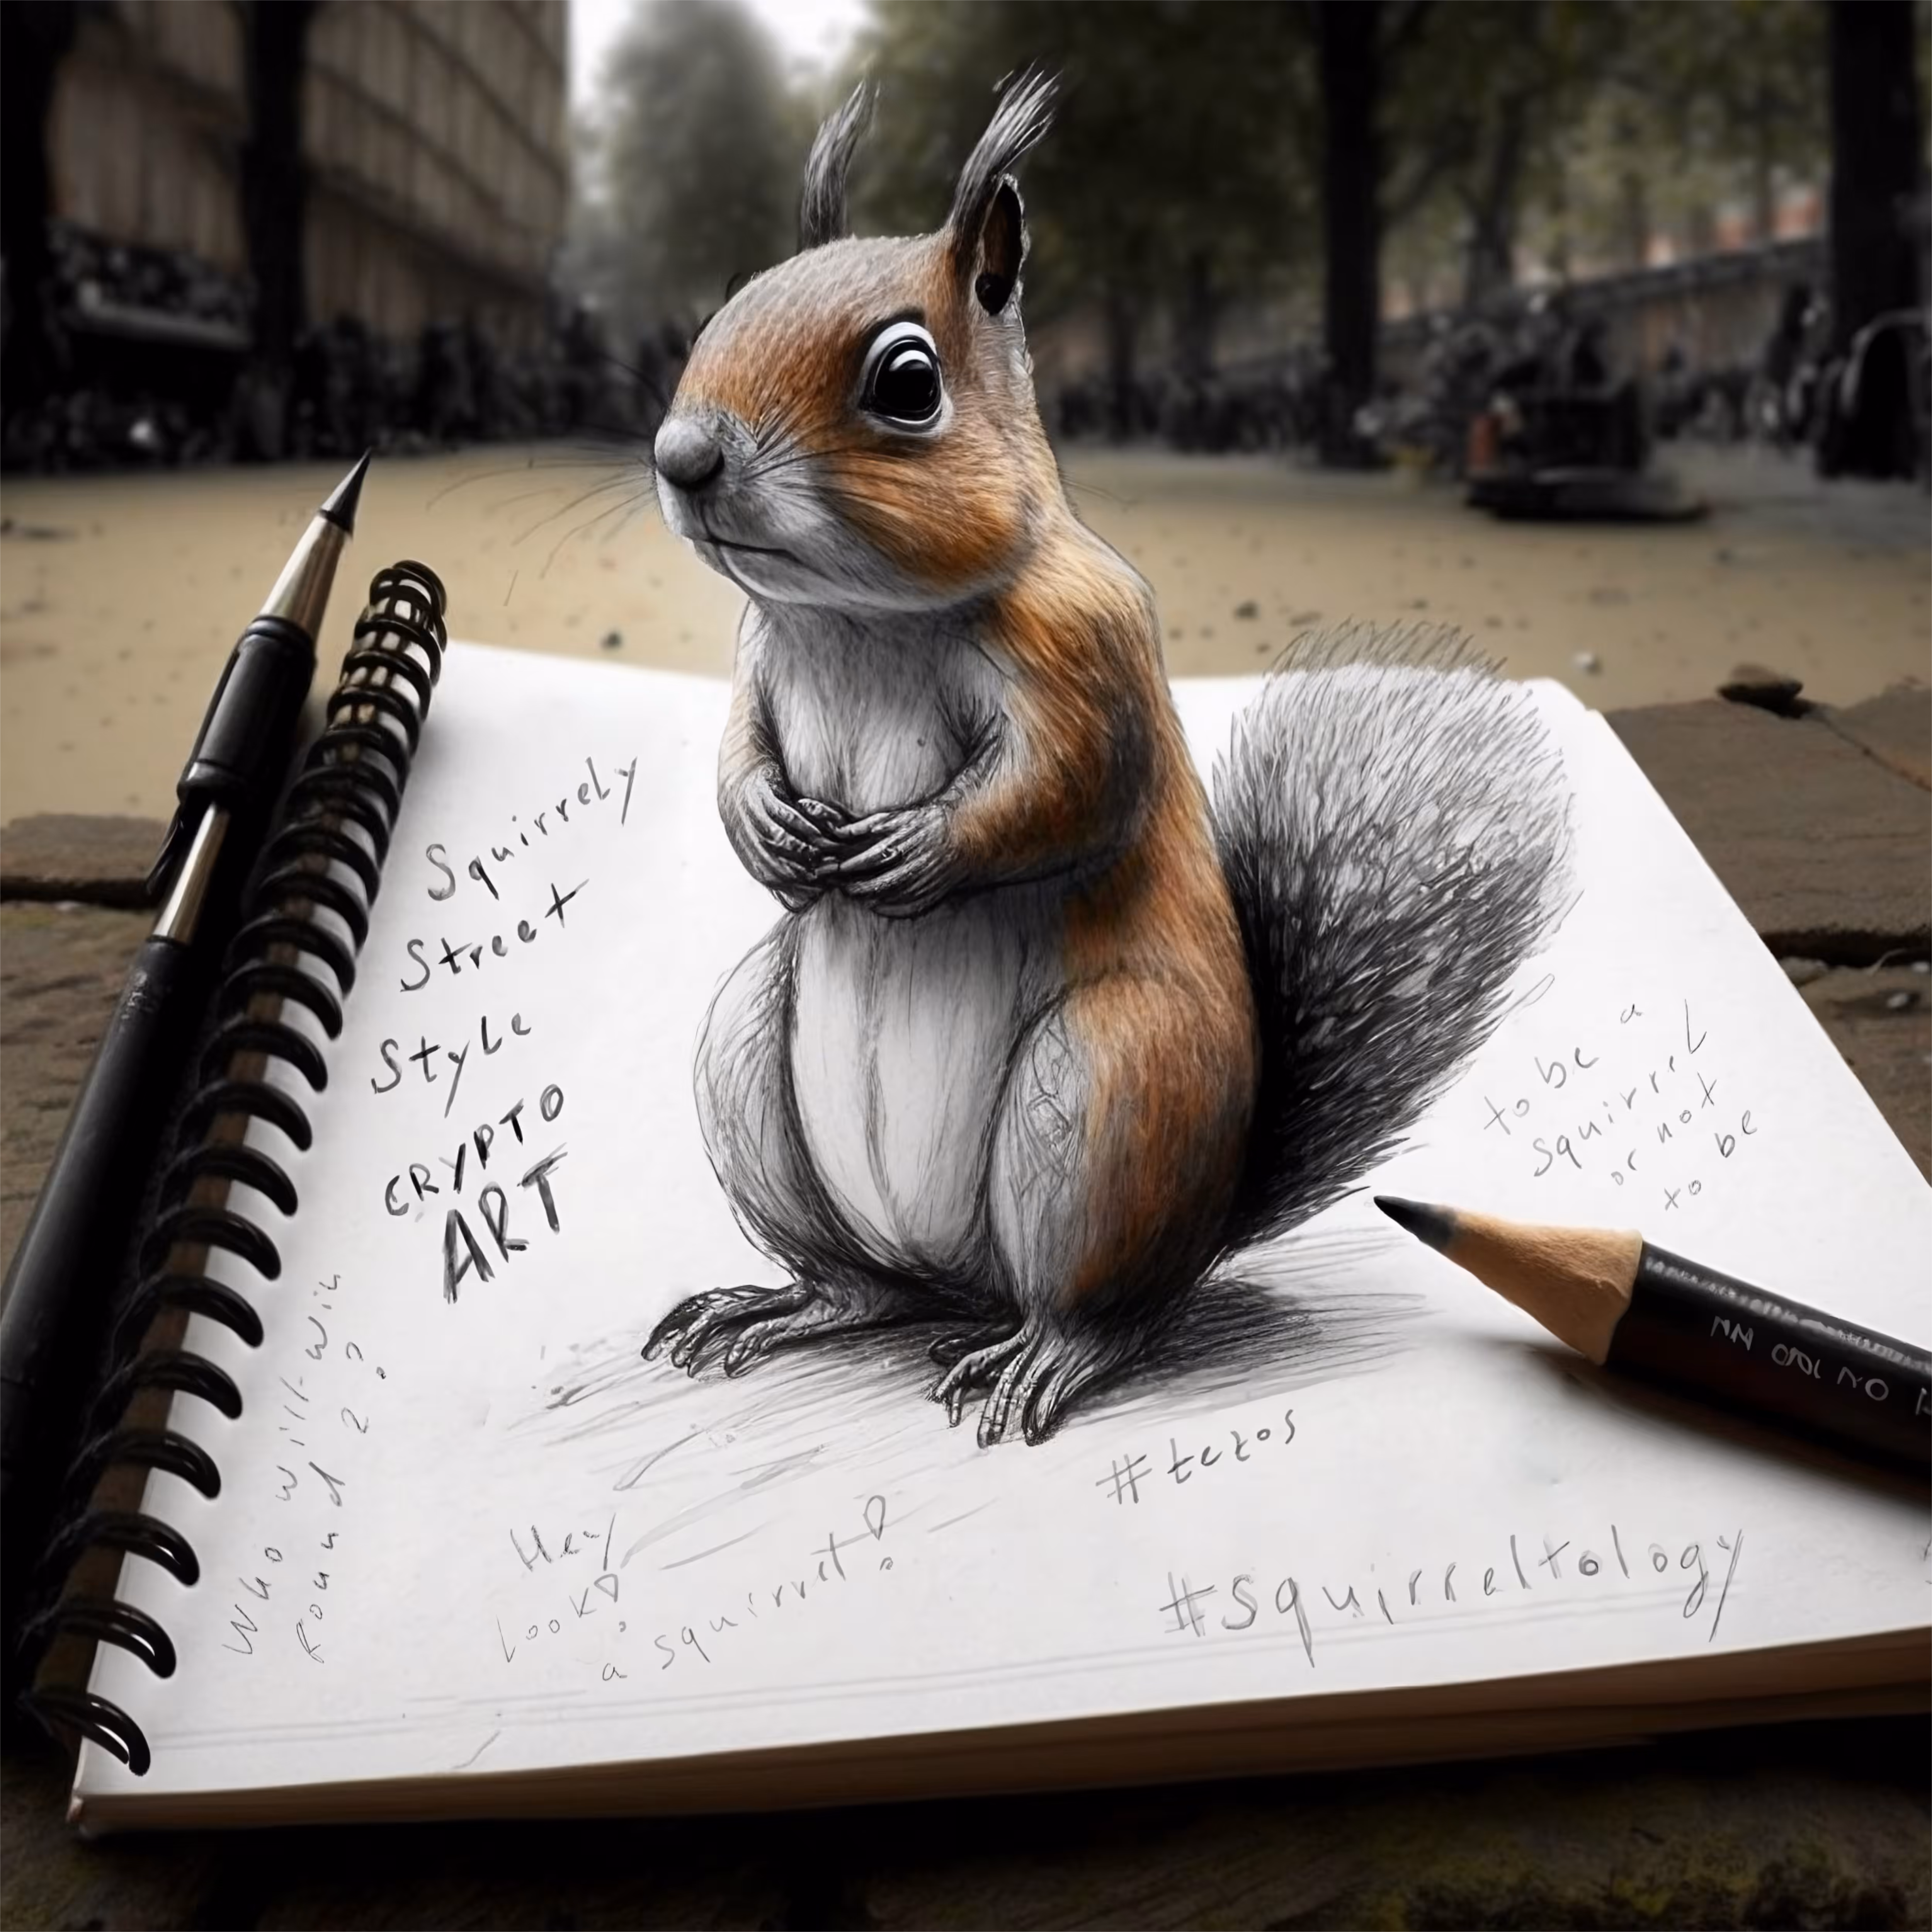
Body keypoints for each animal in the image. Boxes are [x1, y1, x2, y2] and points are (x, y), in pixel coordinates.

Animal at [643, 73, 1571, 1446]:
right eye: (724, 307)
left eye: (907, 381)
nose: (683, 458)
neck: (861, 618)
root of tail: (960, 1286)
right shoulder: (759, 662)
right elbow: (736, 754)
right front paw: (767, 828)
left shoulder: (1091, 653)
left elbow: (1064, 790)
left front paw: (920, 848)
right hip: (751, 1069)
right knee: (856, 1288)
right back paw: (773, 1307)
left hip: (1106, 1101)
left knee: (1103, 1312)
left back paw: (1042, 1358)